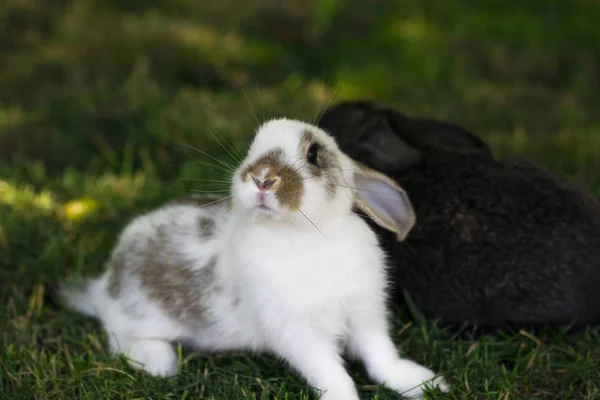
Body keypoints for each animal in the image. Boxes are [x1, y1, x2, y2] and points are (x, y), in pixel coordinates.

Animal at [58, 117, 448, 398]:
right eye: (252, 147)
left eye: (314, 154)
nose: (261, 178)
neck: (304, 236)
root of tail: (105, 285)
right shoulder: (296, 333)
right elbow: (332, 375)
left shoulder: (365, 315)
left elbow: (381, 358)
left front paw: (424, 382)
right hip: (134, 317)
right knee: (117, 338)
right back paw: (159, 361)